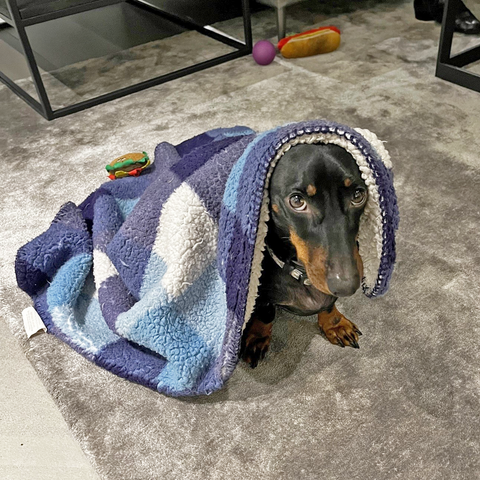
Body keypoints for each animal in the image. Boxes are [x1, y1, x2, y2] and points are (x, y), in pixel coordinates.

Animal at [240, 142, 368, 368]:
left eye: (358, 195)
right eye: (297, 201)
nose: (346, 286)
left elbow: (329, 304)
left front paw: (335, 324)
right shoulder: (260, 295)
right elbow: (265, 313)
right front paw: (257, 337)